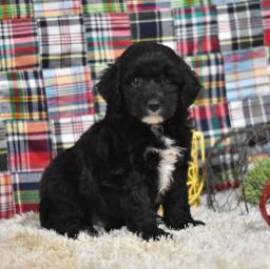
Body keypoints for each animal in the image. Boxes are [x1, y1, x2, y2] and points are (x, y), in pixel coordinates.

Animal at [39, 42, 205, 239]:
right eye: (136, 82)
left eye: (167, 81)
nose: (153, 105)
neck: (154, 128)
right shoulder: (130, 173)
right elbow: (139, 203)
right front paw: (152, 233)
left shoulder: (178, 165)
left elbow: (178, 198)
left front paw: (184, 223)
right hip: (61, 180)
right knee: (61, 218)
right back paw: (85, 230)